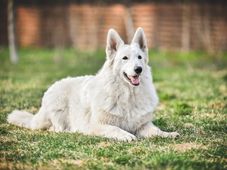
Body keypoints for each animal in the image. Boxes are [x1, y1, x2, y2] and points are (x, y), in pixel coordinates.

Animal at [7, 27, 179, 141]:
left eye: (139, 57)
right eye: (125, 58)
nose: (139, 69)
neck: (127, 95)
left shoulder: (143, 125)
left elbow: (156, 130)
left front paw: (167, 134)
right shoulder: (96, 124)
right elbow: (114, 128)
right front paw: (126, 135)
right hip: (58, 107)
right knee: (55, 128)